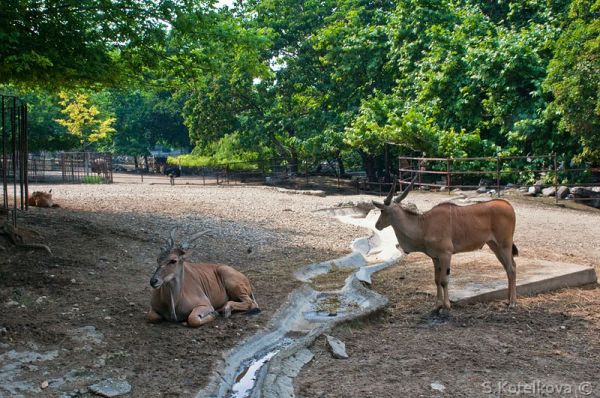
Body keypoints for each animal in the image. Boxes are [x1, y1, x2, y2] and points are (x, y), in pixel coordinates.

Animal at [372, 178, 516, 310]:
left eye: (382, 211)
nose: (377, 225)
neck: (424, 225)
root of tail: (508, 205)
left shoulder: (445, 254)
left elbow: (444, 280)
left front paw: (446, 305)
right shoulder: (435, 257)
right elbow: (436, 280)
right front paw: (437, 304)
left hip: (504, 245)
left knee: (511, 268)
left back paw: (513, 302)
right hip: (495, 246)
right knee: (510, 267)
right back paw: (508, 299)